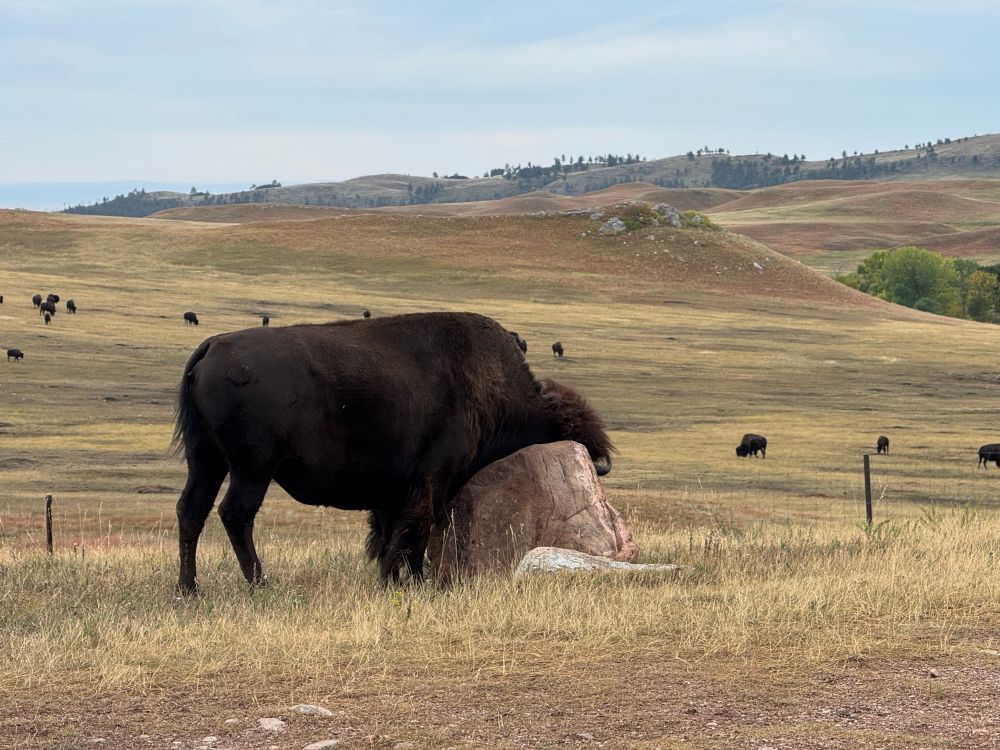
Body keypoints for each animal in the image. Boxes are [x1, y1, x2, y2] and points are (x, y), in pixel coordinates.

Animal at [172, 312, 614, 593]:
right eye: (568, 424)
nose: (601, 460)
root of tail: (214, 346)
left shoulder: (394, 492)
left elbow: (392, 533)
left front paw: (395, 580)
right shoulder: (433, 481)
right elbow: (415, 531)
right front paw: (408, 583)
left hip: (206, 460)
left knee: (192, 511)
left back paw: (190, 589)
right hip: (252, 467)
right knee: (236, 514)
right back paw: (260, 584)